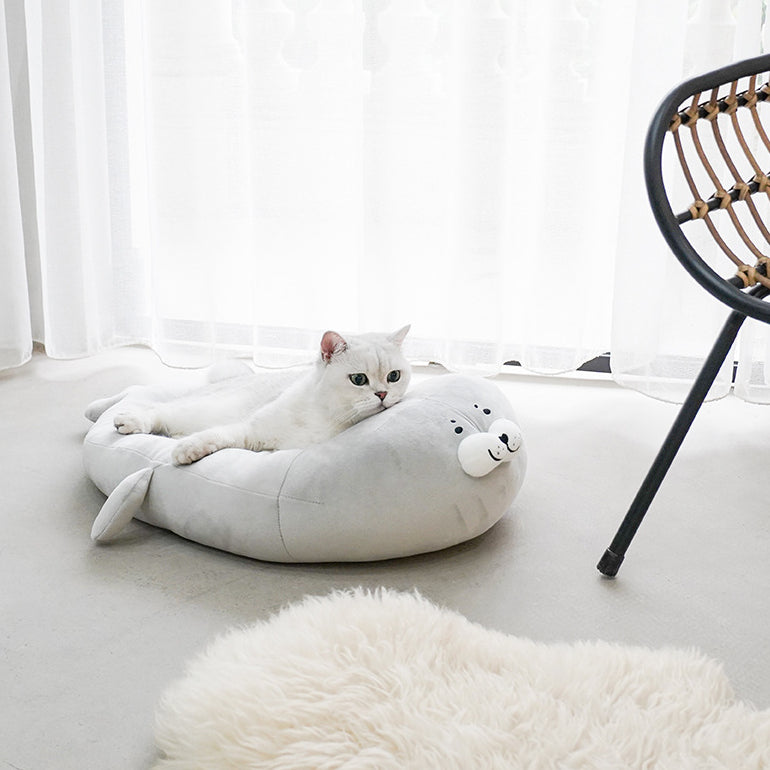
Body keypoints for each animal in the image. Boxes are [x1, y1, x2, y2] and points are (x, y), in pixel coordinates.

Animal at [112, 324, 408, 462]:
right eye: (359, 380)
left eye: (394, 377)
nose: (383, 395)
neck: (327, 417)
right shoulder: (250, 430)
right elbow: (217, 435)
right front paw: (186, 450)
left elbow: (217, 437)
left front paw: (187, 448)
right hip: (200, 409)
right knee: (160, 411)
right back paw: (128, 421)